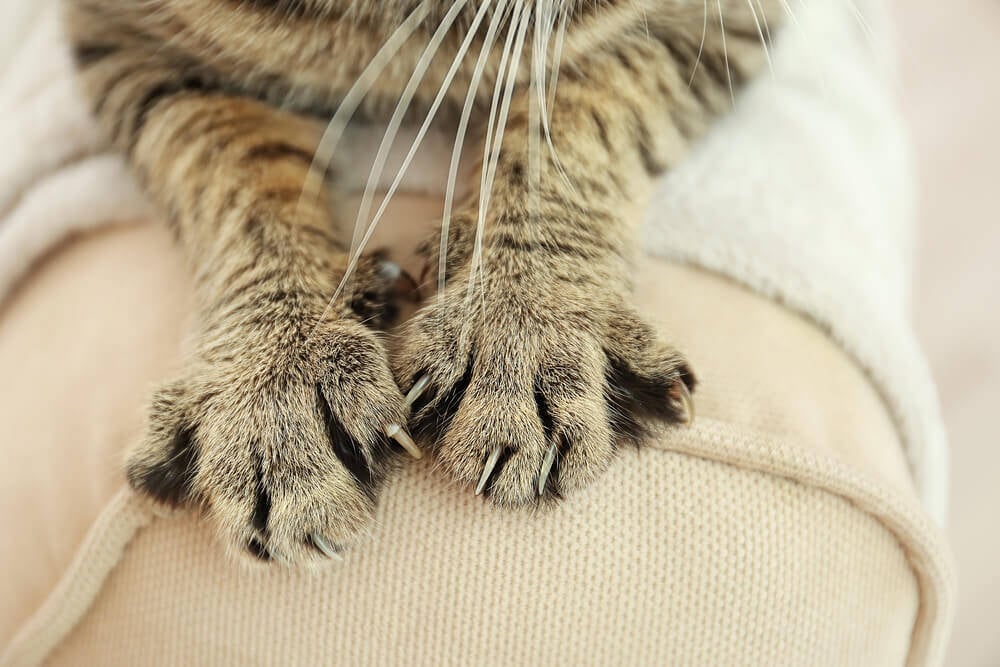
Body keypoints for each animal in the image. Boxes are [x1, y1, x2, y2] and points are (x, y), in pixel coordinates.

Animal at [64, 0, 780, 564]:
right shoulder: (123, 40)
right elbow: (232, 169)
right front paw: (276, 379)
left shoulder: (715, 21)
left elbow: (569, 114)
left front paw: (525, 319)